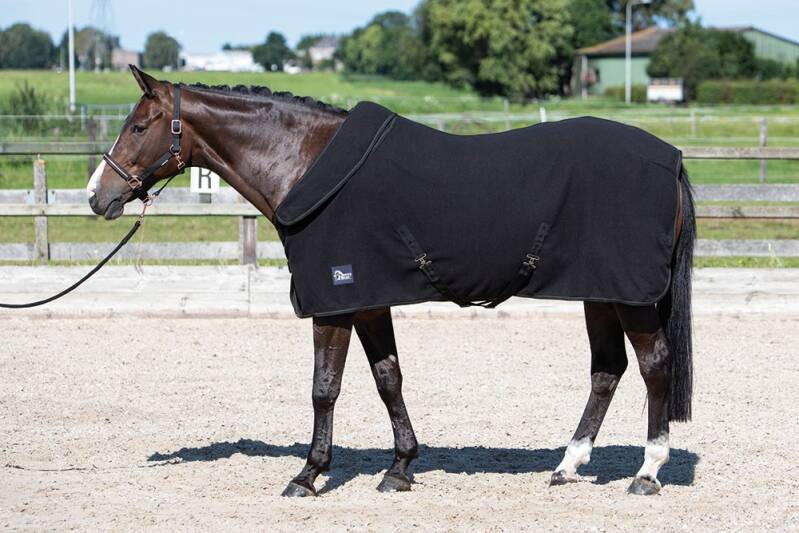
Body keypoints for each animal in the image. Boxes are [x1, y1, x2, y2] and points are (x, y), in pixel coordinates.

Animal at [87, 66, 695, 497]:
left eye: (137, 126)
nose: (97, 195)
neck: (306, 164)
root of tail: (671, 158)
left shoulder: (334, 303)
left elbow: (324, 388)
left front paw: (308, 475)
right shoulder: (369, 301)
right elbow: (388, 379)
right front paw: (400, 468)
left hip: (630, 298)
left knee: (654, 364)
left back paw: (647, 472)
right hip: (602, 293)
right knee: (607, 371)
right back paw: (568, 465)